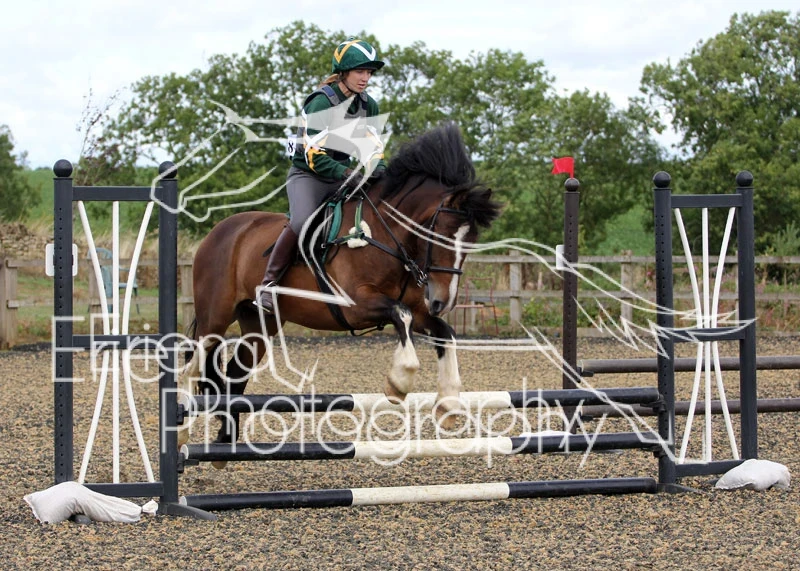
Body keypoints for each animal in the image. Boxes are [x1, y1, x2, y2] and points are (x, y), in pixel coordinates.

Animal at [178, 122, 501, 452]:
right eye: (439, 236)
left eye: (471, 240)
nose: (442, 301)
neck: (384, 235)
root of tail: (220, 231)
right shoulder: (356, 306)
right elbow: (401, 315)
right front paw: (399, 382)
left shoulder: (419, 312)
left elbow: (443, 332)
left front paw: (449, 403)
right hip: (215, 317)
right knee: (193, 364)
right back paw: (182, 433)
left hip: (259, 323)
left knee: (234, 374)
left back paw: (225, 442)